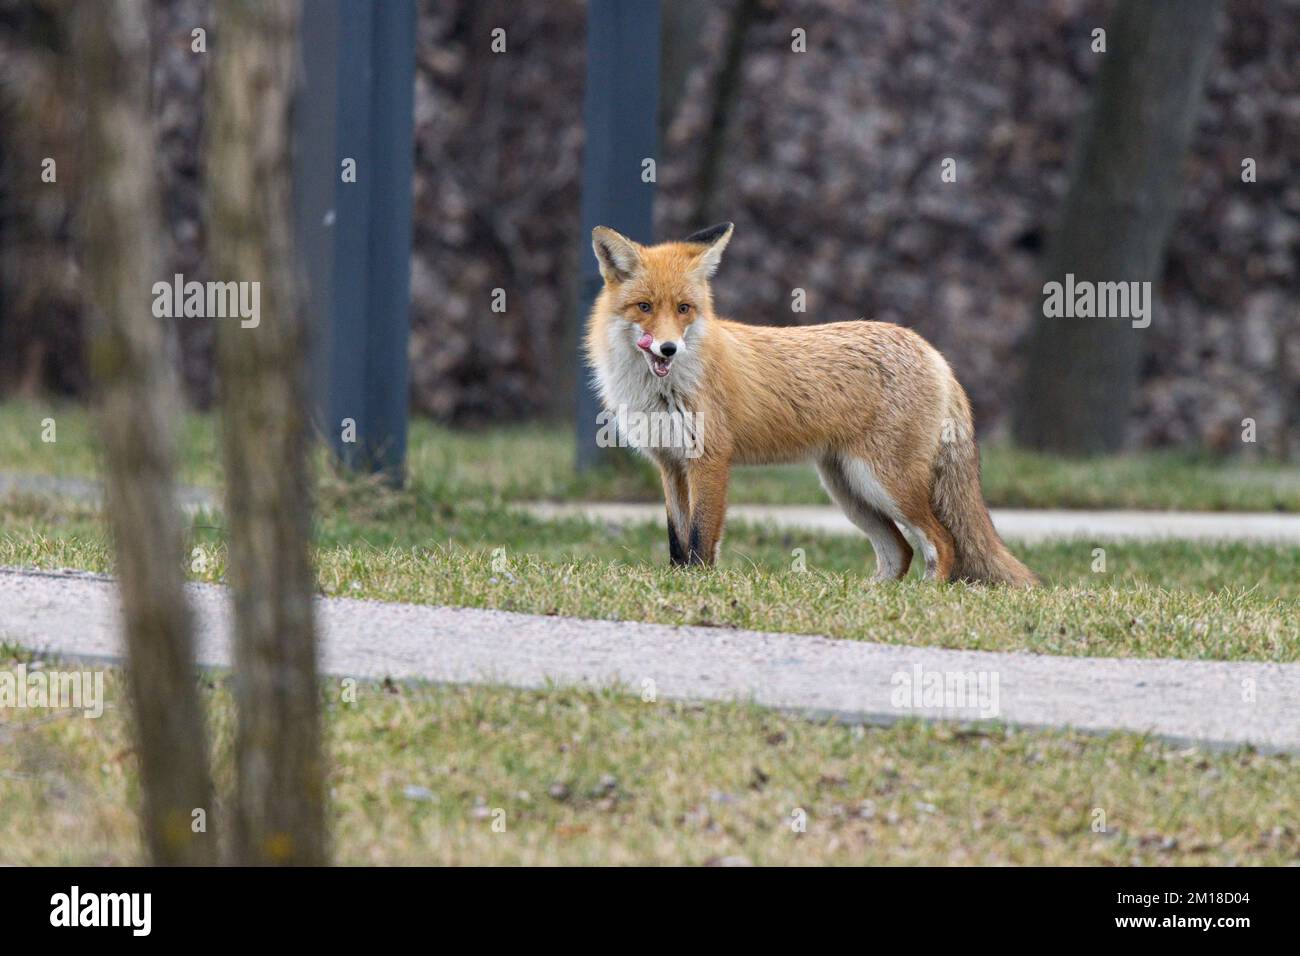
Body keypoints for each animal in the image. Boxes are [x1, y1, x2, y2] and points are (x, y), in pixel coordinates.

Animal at [585, 223, 1040, 587]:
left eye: (684, 309)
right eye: (644, 307)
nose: (668, 348)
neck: (661, 391)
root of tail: (933, 352)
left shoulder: (709, 460)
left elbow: (700, 540)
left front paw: (698, 586)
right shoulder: (670, 464)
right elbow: (677, 543)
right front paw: (678, 583)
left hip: (884, 483)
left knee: (942, 542)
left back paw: (925, 596)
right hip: (849, 489)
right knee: (900, 552)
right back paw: (874, 596)